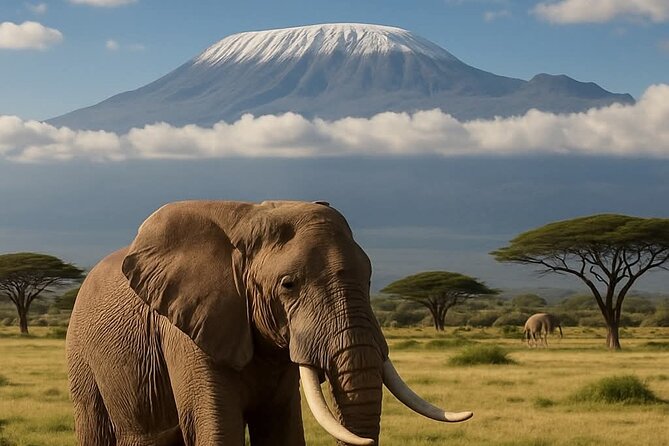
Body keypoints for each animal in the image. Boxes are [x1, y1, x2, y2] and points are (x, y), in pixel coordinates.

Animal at [66, 200, 472, 446]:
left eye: (370, 278)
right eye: (288, 285)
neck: (247, 217)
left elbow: (281, 428)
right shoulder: (189, 329)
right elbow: (217, 428)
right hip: (80, 353)